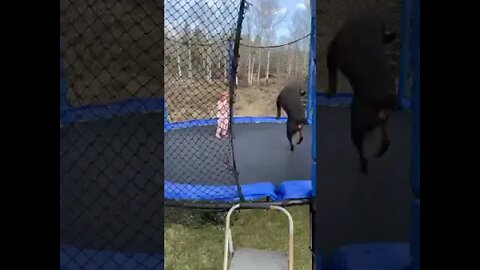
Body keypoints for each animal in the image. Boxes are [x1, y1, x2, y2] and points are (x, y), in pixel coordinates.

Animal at [326, 10, 398, 173]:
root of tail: (377, 101)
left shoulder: (333, 51)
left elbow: (331, 72)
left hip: (357, 125)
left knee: (365, 144)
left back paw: (365, 163)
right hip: (372, 120)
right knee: (384, 132)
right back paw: (378, 152)